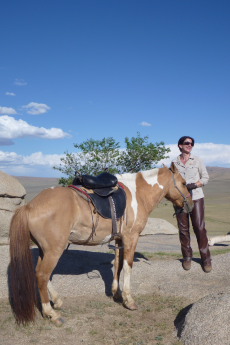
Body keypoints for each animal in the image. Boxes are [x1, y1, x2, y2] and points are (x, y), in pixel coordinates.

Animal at [8, 163, 192, 324]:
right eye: (183, 183)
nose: (190, 205)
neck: (138, 194)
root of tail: (30, 206)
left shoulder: (119, 239)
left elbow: (118, 265)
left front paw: (116, 294)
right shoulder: (131, 238)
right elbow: (128, 266)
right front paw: (129, 300)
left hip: (45, 250)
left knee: (40, 274)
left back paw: (57, 301)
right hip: (54, 250)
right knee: (42, 275)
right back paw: (51, 313)